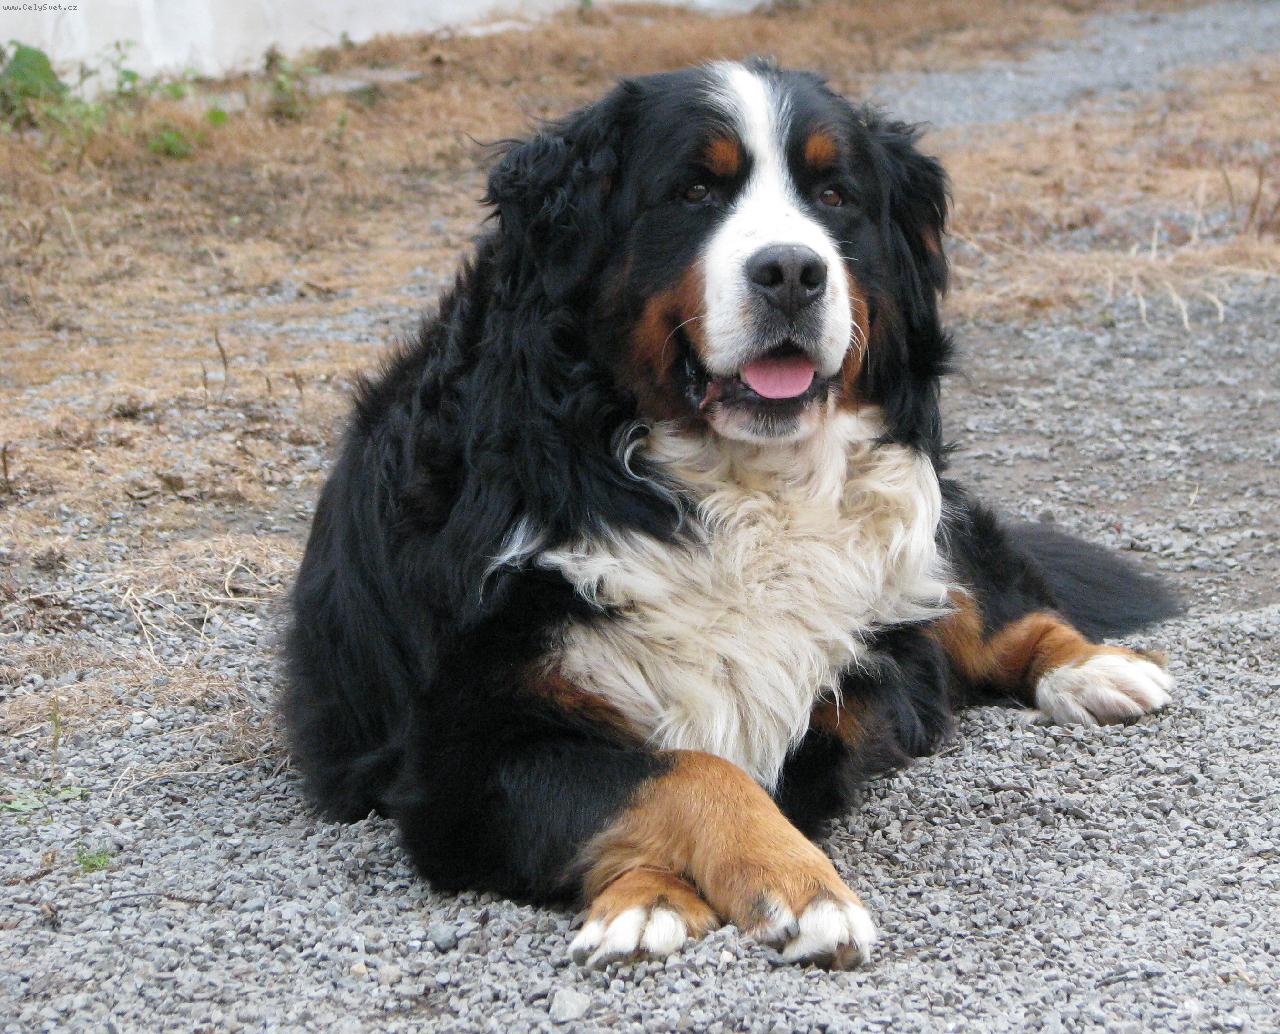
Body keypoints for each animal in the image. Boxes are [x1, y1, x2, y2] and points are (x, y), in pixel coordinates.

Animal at [282, 60, 1180, 970]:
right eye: (694, 190)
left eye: (835, 193)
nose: (791, 271)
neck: (738, 489)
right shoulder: (464, 757)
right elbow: (682, 771)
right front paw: (669, 895)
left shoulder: (859, 685)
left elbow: (745, 762)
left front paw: (787, 884)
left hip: (926, 537)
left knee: (995, 608)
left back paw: (1097, 670)